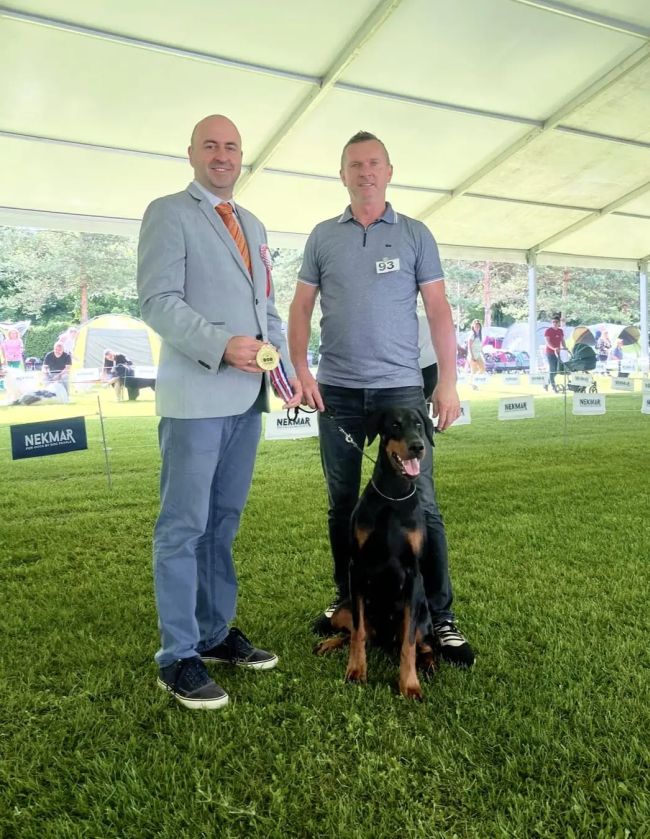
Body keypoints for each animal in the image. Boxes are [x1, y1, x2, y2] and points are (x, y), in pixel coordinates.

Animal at [315, 406, 437, 700]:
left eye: (419, 424)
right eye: (395, 424)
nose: (417, 446)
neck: (394, 496)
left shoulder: (413, 574)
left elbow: (408, 645)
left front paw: (410, 684)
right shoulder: (357, 568)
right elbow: (358, 633)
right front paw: (356, 671)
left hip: (422, 615)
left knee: (424, 644)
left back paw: (428, 665)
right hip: (343, 610)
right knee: (354, 632)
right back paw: (329, 643)